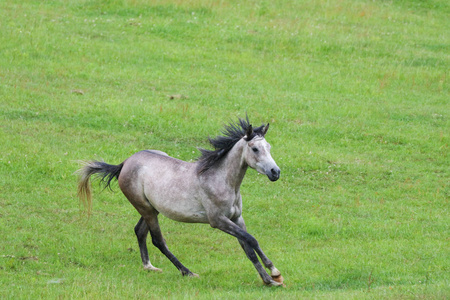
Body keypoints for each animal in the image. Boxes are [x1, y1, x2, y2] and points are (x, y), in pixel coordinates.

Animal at [75, 116, 284, 286]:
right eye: (255, 148)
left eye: (269, 147)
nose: (275, 172)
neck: (220, 179)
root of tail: (125, 163)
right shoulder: (218, 221)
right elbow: (251, 239)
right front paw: (275, 274)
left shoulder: (236, 218)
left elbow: (248, 247)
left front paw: (270, 280)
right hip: (146, 209)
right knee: (158, 240)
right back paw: (187, 272)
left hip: (151, 208)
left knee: (140, 231)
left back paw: (149, 267)